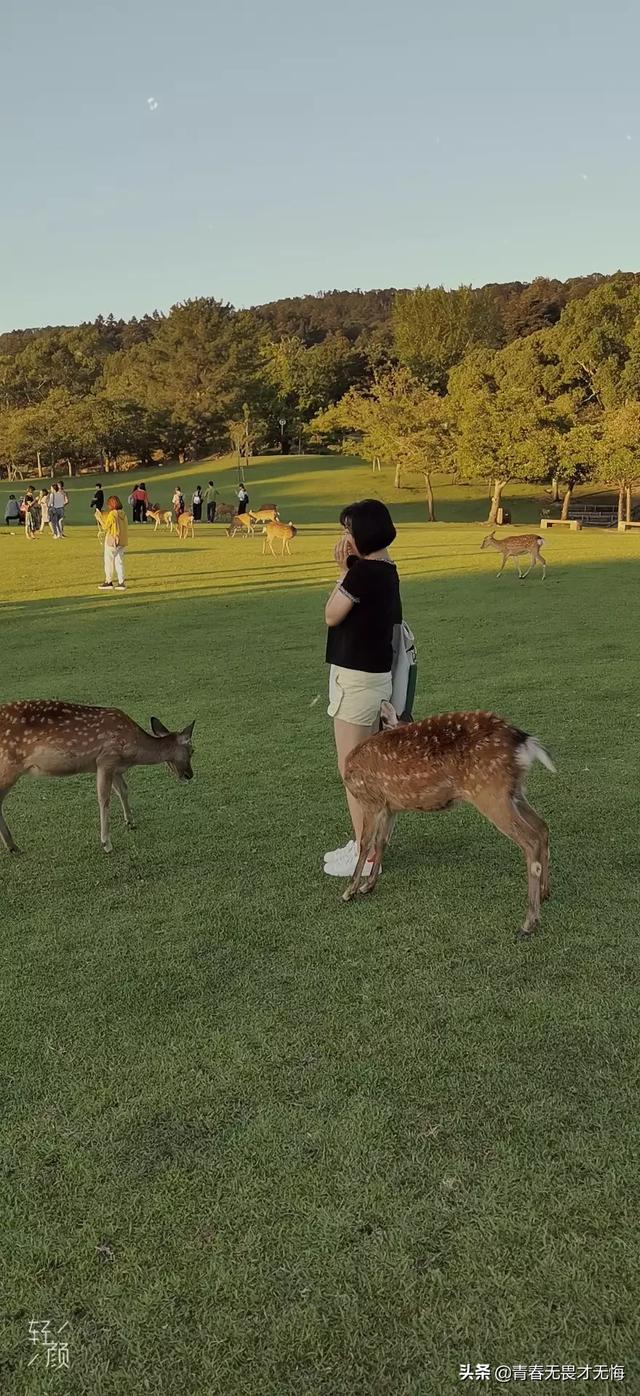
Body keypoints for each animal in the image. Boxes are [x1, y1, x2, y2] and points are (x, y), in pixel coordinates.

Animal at [0, 703, 195, 854]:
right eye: (193, 750)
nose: (190, 775)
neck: (133, 751)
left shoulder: (115, 767)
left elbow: (123, 790)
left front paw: (130, 821)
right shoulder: (106, 759)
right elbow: (104, 798)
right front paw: (106, 843)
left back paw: (13, 846)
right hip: (9, 765)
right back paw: (13, 846)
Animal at [339, 709, 556, 938]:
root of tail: (522, 741)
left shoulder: (370, 801)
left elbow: (365, 843)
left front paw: (350, 891)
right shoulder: (390, 807)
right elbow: (382, 841)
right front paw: (368, 885)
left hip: (490, 792)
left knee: (531, 839)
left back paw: (528, 923)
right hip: (514, 792)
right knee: (542, 827)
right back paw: (544, 893)